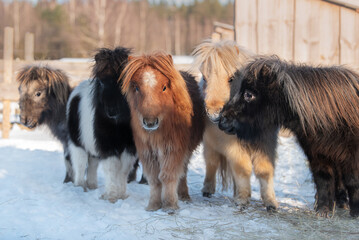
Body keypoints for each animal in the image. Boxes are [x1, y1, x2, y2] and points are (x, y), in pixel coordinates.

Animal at [67, 47, 137, 202]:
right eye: (101, 82)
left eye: (122, 81)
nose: (111, 111)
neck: (118, 124)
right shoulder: (107, 145)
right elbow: (112, 168)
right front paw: (111, 196)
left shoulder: (129, 147)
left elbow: (123, 170)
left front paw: (121, 195)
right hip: (77, 143)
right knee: (80, 164)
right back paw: (80, 187)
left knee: (92, 165)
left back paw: (92, 185)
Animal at [121, 53, 205, 212]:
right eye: (136, 87)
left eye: (164, 87)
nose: (150, 122)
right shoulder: (148, 152)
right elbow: (154, 179)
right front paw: (153, 205)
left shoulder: (173, 149)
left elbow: (168, 176)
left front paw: (170, 205)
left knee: (183, 172)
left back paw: (183, 195)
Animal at [193, 39, 280, 210]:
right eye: (205, 78)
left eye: (232, 78)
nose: (214, 114)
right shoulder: (233, 146)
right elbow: (242, 169)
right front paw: (243, 200)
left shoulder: (265, 143)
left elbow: (264, 170)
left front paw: (270, 203)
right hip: (211, 146)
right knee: (211, 164)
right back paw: (208, 190)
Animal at [219, 55, 359, 218]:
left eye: (249, 94)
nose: (221, 120)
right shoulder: (317, 154)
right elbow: (324, 180)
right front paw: (323, 210)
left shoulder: (351, 156)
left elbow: (353, 181)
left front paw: (355, 212)